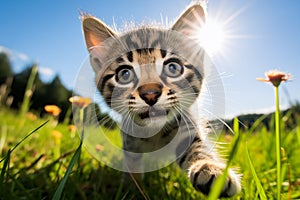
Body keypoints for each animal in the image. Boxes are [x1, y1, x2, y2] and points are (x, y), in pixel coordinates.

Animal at [81, 3, 241, 197]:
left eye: (173, 68)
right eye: (125, 74)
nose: (150, 93)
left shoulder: (185, 123)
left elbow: (197, 148)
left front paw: (209, 169)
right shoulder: (129, 141)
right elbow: (132, 166)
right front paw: (132, 189)